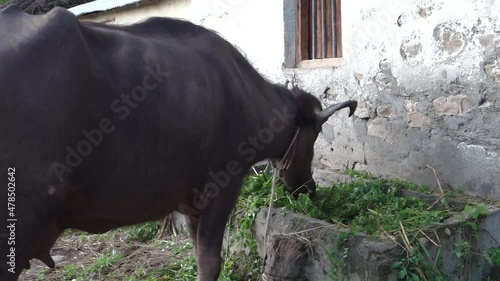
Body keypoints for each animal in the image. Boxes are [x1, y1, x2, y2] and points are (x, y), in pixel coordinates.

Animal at [1, 4, 358, 280]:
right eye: (313, 136)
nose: (309, 188)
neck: (248, 95)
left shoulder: (188, 202)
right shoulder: (220, 187)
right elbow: (210, 261)